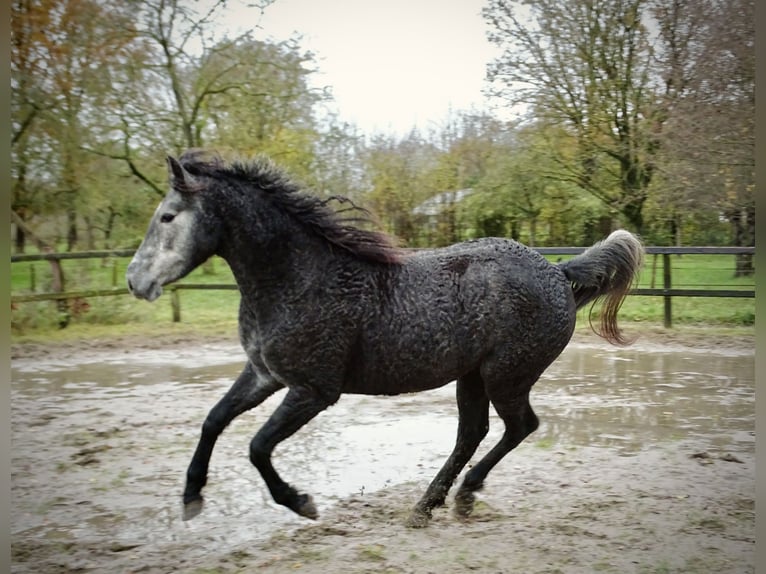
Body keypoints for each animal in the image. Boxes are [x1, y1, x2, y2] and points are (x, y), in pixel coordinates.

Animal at [127, 150, 648, 532]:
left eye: (168, 216)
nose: (135, 281)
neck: (301, 278)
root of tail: (559, 272)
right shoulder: (264, 374)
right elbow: (213, 421)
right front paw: (191, 498)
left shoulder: (312, 391)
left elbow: (257, 447)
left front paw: (301, 502)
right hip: (472, 377)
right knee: (473, 432)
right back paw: (428, 505)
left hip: (507, 376)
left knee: (519, 427)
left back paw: (461, 496)